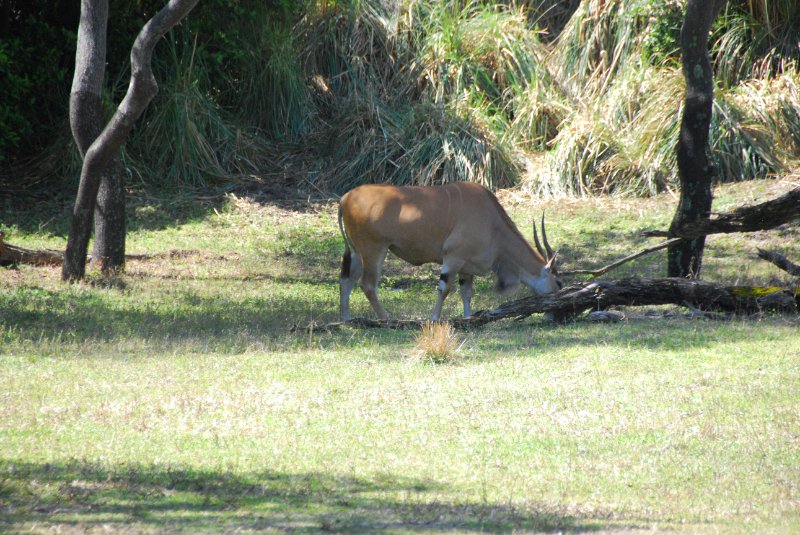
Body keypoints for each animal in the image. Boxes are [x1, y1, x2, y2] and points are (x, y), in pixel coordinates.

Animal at [340, 182, 564, 320]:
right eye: (559, 283)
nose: (557, 313)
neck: (493, 223)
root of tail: (346, 197)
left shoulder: (466, 267)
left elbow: (467, 293)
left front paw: (468, 318)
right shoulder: (453, 258)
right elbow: (444, 288)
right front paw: (434, 319)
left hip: (357, 252)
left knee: (346, 280)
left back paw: (346, 319)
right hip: (374, 249)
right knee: (368, 285)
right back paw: (386, 319)